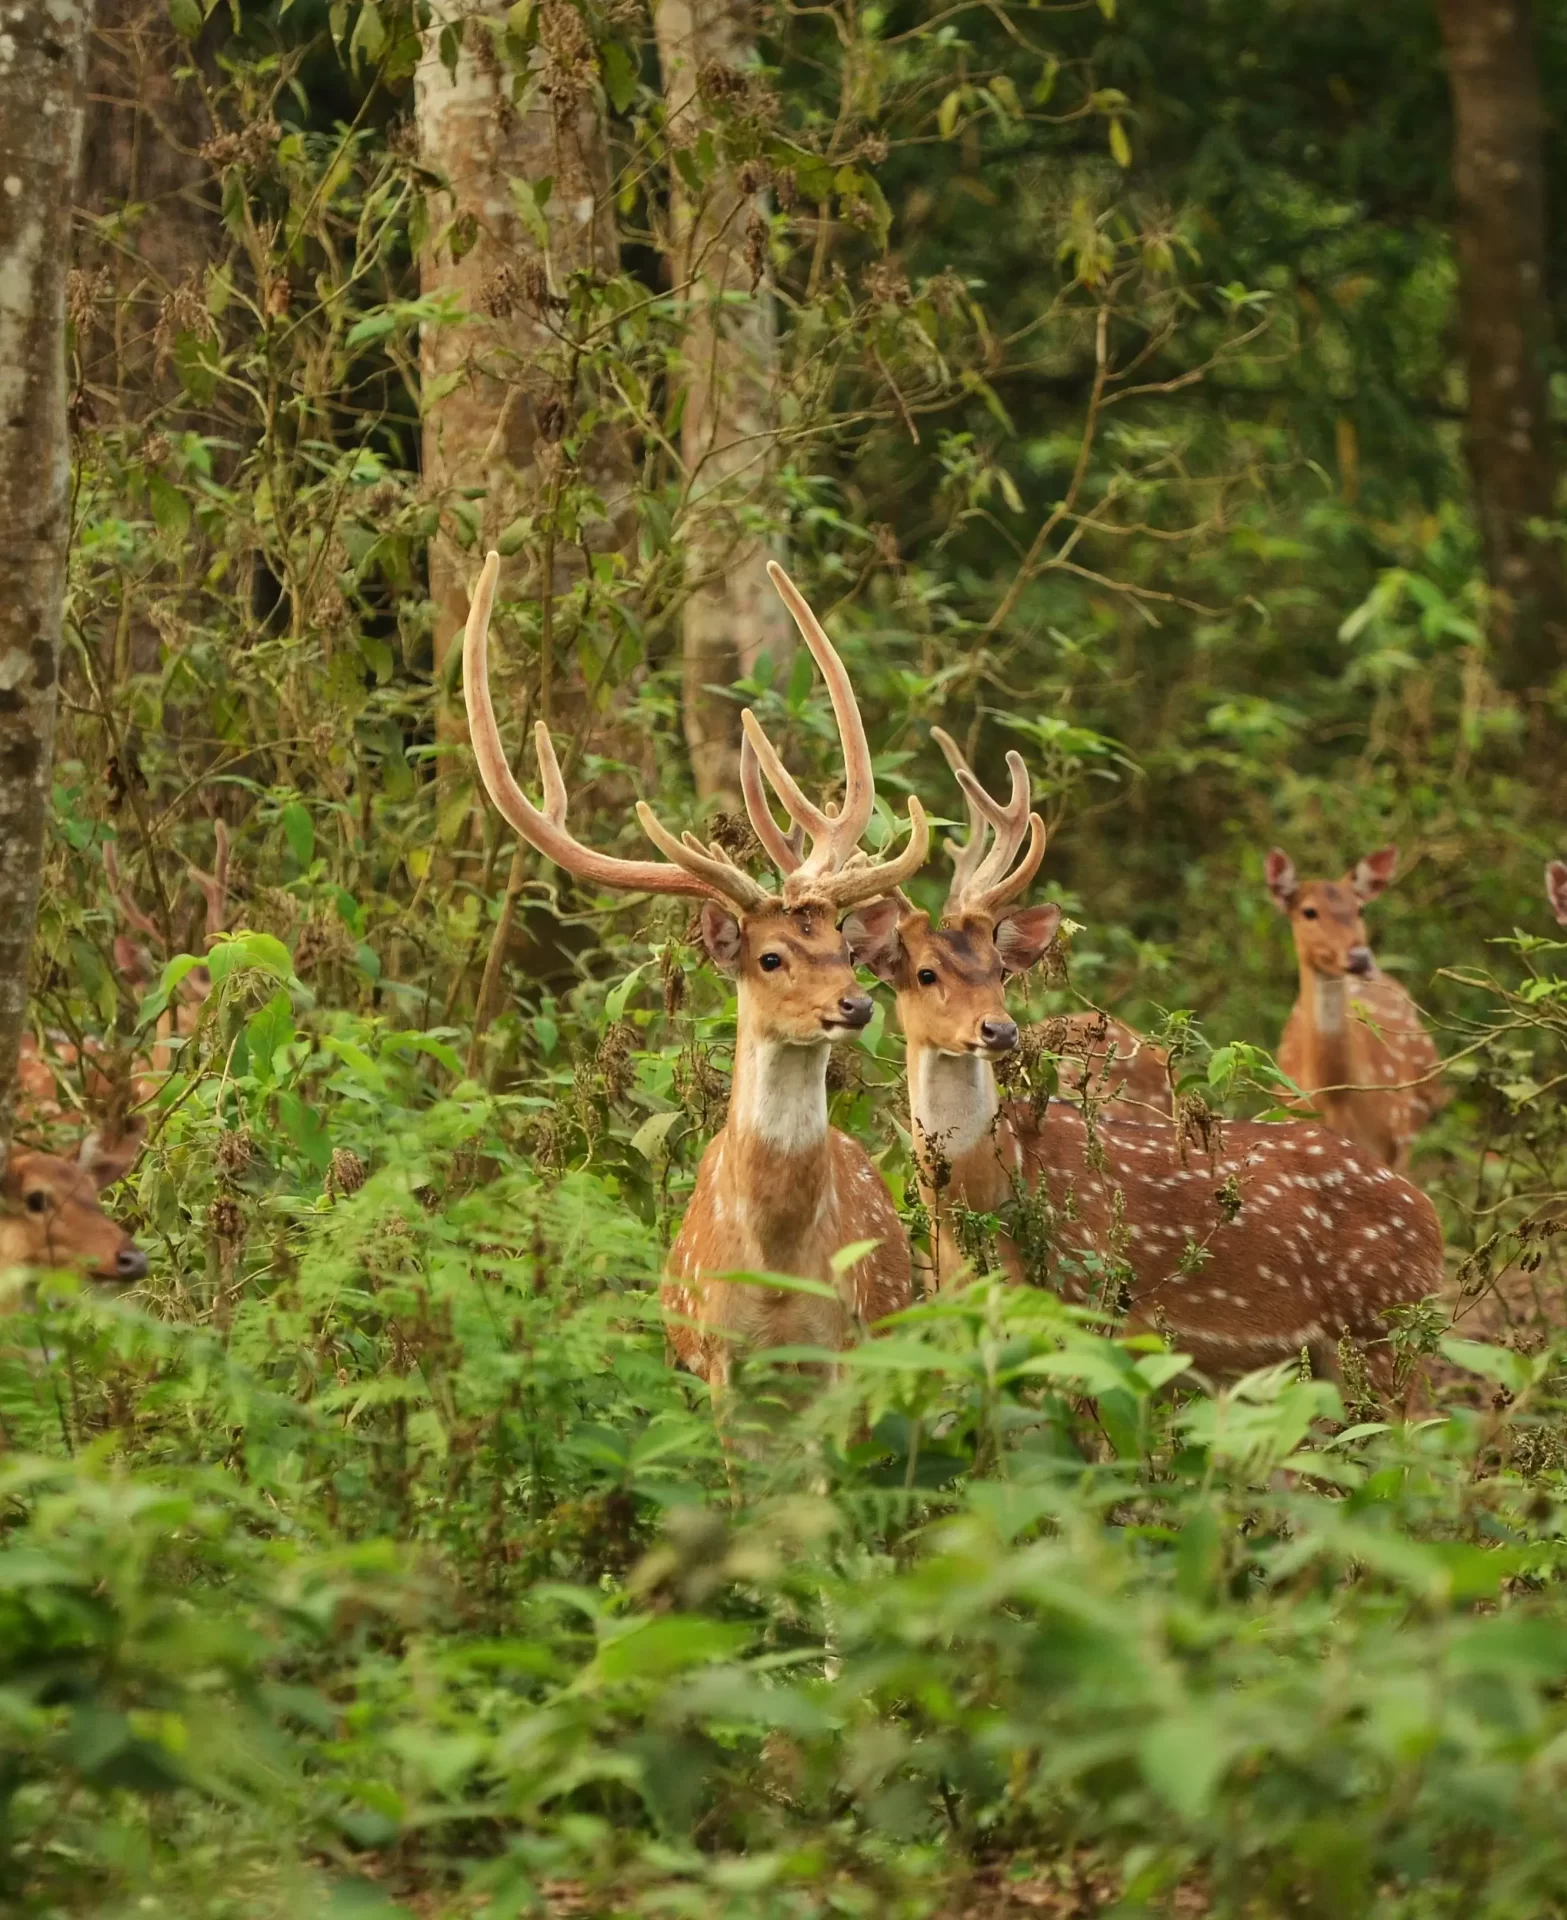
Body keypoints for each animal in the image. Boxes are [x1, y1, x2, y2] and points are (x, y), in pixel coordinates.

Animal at [464, 549, 929, 1390]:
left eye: (845, 950)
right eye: (770, 956)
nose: (855, 1006)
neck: (775, 1271)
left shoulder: (843, 1348)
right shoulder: (713, 1355)